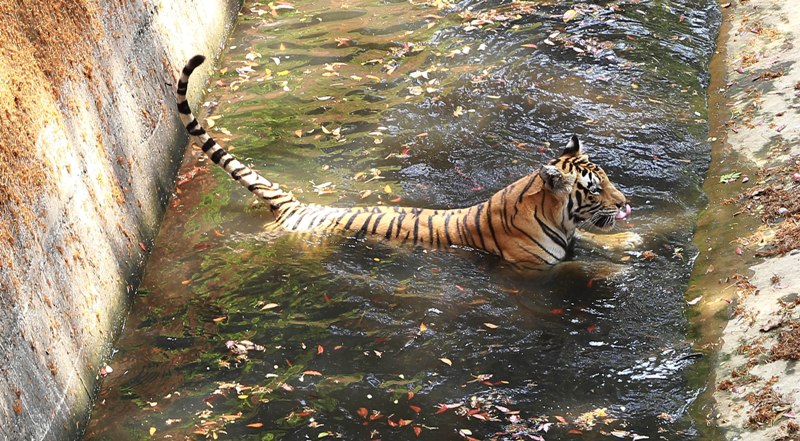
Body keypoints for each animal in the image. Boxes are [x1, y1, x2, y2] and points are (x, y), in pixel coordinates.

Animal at [176, 55, 639, 268]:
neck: (555, 215)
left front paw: (630, 240)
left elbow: (596, 241)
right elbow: (582, 270)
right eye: (594, 189)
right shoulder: (535, 269)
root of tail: (300, 205)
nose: (626, 204)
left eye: (608, 178)